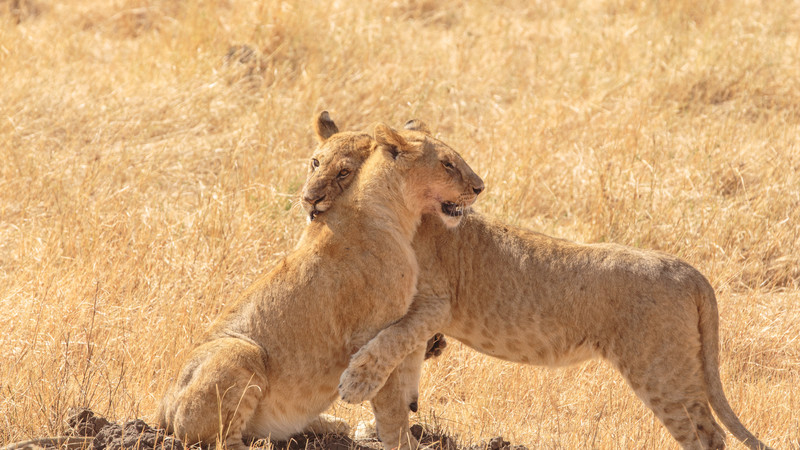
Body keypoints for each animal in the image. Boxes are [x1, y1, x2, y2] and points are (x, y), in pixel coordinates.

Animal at [155, 113, 484, 450]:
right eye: (447, 164)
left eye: (343, 171)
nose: (480, 187)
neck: (393, 210)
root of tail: (162, 409)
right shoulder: (370, 331)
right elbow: (389, 393)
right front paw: (404, 441)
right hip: (240, 351)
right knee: (221, 440)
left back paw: (330, 425)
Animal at [301, 119, 772, 450]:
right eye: (315, 162)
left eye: (343, 172)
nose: (309, 199)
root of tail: (687, 270)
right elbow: (405, 360)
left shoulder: (435, 302)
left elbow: (391, 341)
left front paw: (357, 384)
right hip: (679, 368)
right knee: (709, 428)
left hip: (659, 370)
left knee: (700, 434)